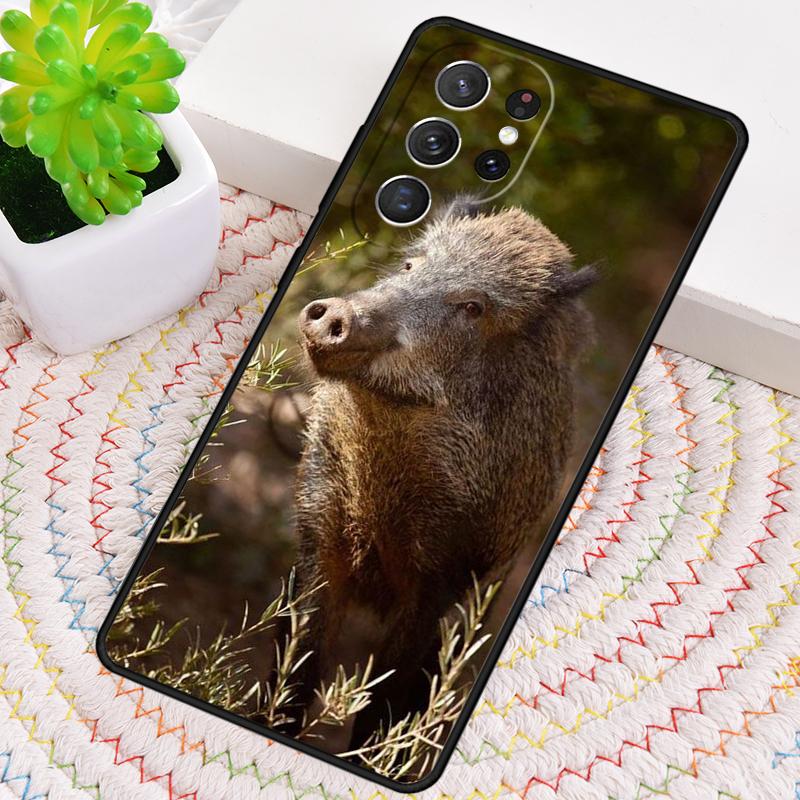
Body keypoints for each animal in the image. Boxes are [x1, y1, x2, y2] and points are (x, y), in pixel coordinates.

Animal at [292, 197, 596, 744]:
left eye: (474, 308)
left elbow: (383, 701)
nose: (334, 312)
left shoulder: (446, 576)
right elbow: (295, 665)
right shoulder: (318, 519)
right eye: (411, 265)